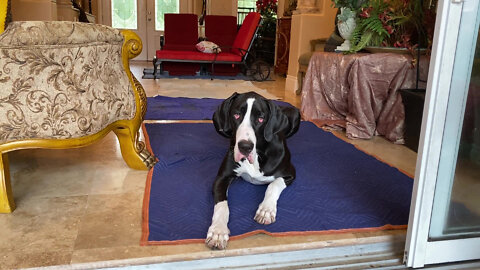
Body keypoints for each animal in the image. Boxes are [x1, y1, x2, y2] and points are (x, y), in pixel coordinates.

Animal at [205, 92, 300, 249]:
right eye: (236, 115)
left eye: (261, 119)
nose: (245, 147)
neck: (257, 156)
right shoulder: (221, 178)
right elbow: (222, 205)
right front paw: (218, 231)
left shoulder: (289, 173)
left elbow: (273, 185)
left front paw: (266, 210)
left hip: (296, 114)